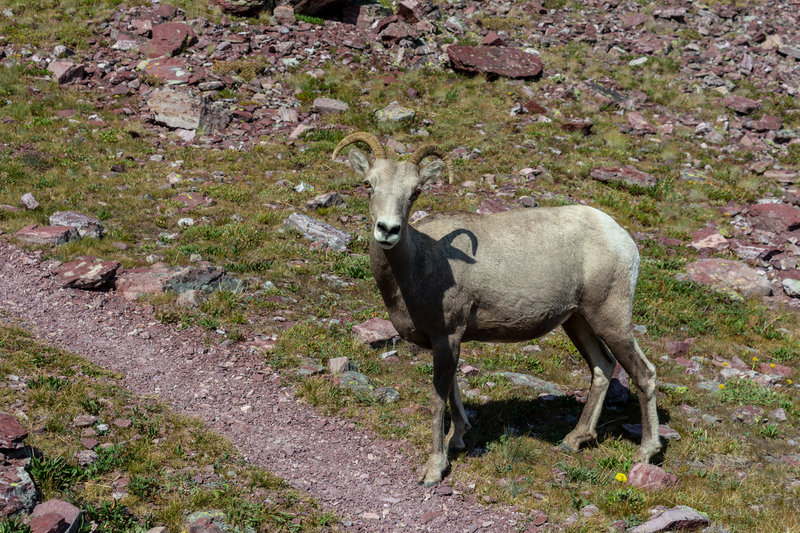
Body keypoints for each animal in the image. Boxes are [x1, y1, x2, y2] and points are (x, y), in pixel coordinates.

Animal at [332, 131, 664, 484]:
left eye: (416, 191)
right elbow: (454, 390)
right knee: (602, 366)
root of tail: (623, 240)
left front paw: (435, 468)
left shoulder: (447, 336)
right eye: (368, 183)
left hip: (610, 319)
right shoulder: (448, 342)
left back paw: (646, 452)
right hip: (577, 321)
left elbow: (438, 399)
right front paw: (459, 438)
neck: (422, 261)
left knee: (644, 373)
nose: (387, 230)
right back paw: (573, 440)